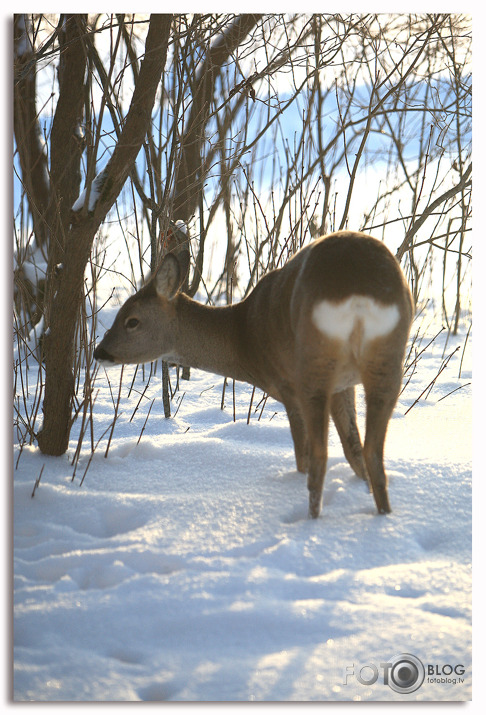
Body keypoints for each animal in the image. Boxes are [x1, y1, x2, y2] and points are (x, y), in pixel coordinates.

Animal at [94, 232, 414, 516]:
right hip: (386, 362)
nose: (99, 352)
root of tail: (358, 294)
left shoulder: (287, 385)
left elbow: (305, 454)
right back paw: (382, 515)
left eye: (132, 320)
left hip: (313, 367)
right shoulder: (344, 385)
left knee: (319, 455)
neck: (243, 337)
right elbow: (352, 448)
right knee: (372, 452)